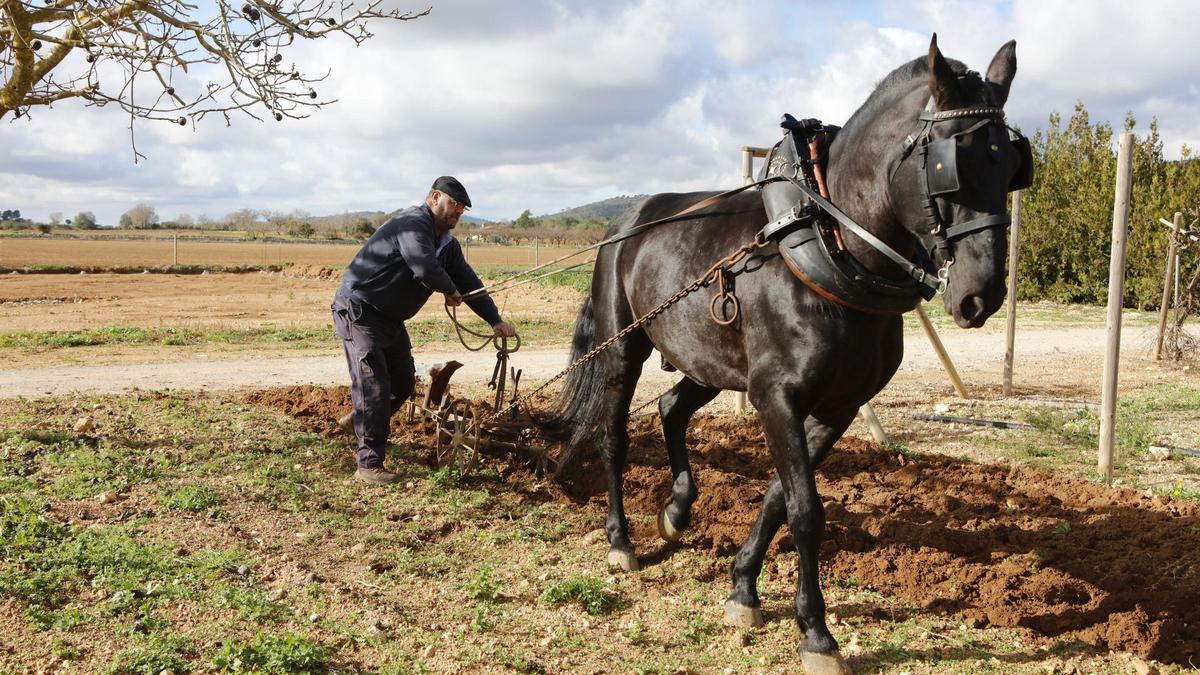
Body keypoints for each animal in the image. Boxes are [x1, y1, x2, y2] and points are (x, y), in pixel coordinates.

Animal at [549, 38, 1027, 672]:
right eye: (949, 164)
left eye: (1012, 163)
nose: (981, 293)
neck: (829, 243)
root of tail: (624, 224)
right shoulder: (776, 395)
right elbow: (806, 511)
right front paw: (817, 634)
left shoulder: (835, 406)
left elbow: (780, 498)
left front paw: (743, 589)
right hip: (625, 347)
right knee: (614, 435)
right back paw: (621, 541)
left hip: (708, 361)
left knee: (673, 408)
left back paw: (677, 511)